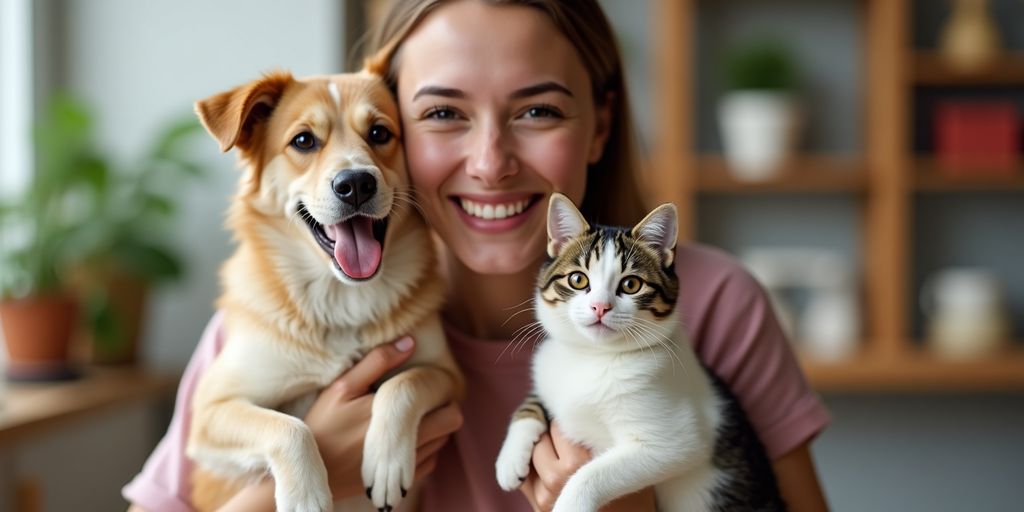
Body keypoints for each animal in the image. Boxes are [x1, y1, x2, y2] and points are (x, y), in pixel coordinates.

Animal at [187, 69, 464, 512]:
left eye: (380, 132)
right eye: (303, 141)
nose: (356, 184)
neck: (341, 299)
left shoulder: (449, 376)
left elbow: (405, 383)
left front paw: (386, 460)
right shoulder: (211, 410)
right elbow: (290, 428)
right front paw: (306, 496)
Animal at [493, 193, 782, 512]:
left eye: (631, 284)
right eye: (578, 280)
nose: (600, 306)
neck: (595, 357)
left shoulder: (676, 441)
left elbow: (592, 472)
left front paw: (571, 503)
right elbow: (535, 400)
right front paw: (510, 455)